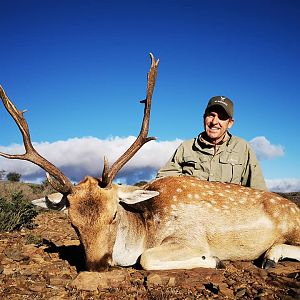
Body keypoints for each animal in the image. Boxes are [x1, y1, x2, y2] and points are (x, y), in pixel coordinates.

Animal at [0, 54, 300, 272]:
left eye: (114, 214)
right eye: (72, 223)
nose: (97, 266)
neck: (145, 227)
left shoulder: (190, 238)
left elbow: (146, 259)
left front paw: (214, 260)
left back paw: (270, 256)